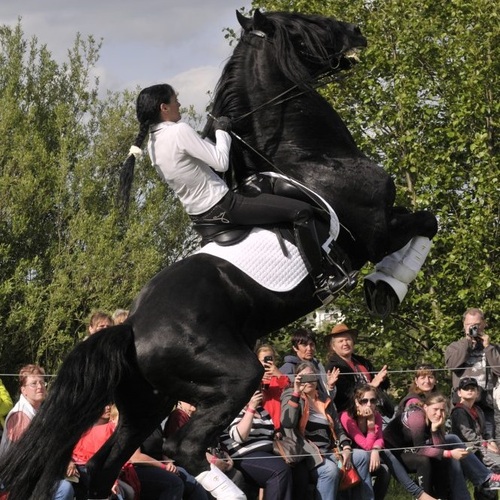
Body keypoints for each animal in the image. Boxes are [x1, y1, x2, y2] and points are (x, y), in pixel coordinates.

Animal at [0, 8, 438, 500]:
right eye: (301, 22)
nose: (355, 32)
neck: (310, 154)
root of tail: (132, 327)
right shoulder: (377, 230)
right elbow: (428, 222)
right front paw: (387, 288)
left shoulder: (384, 222)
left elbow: (426, 220)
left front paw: (383, 288)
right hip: (233, 378)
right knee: (184, 447)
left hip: (146, 404)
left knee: (101, 468)